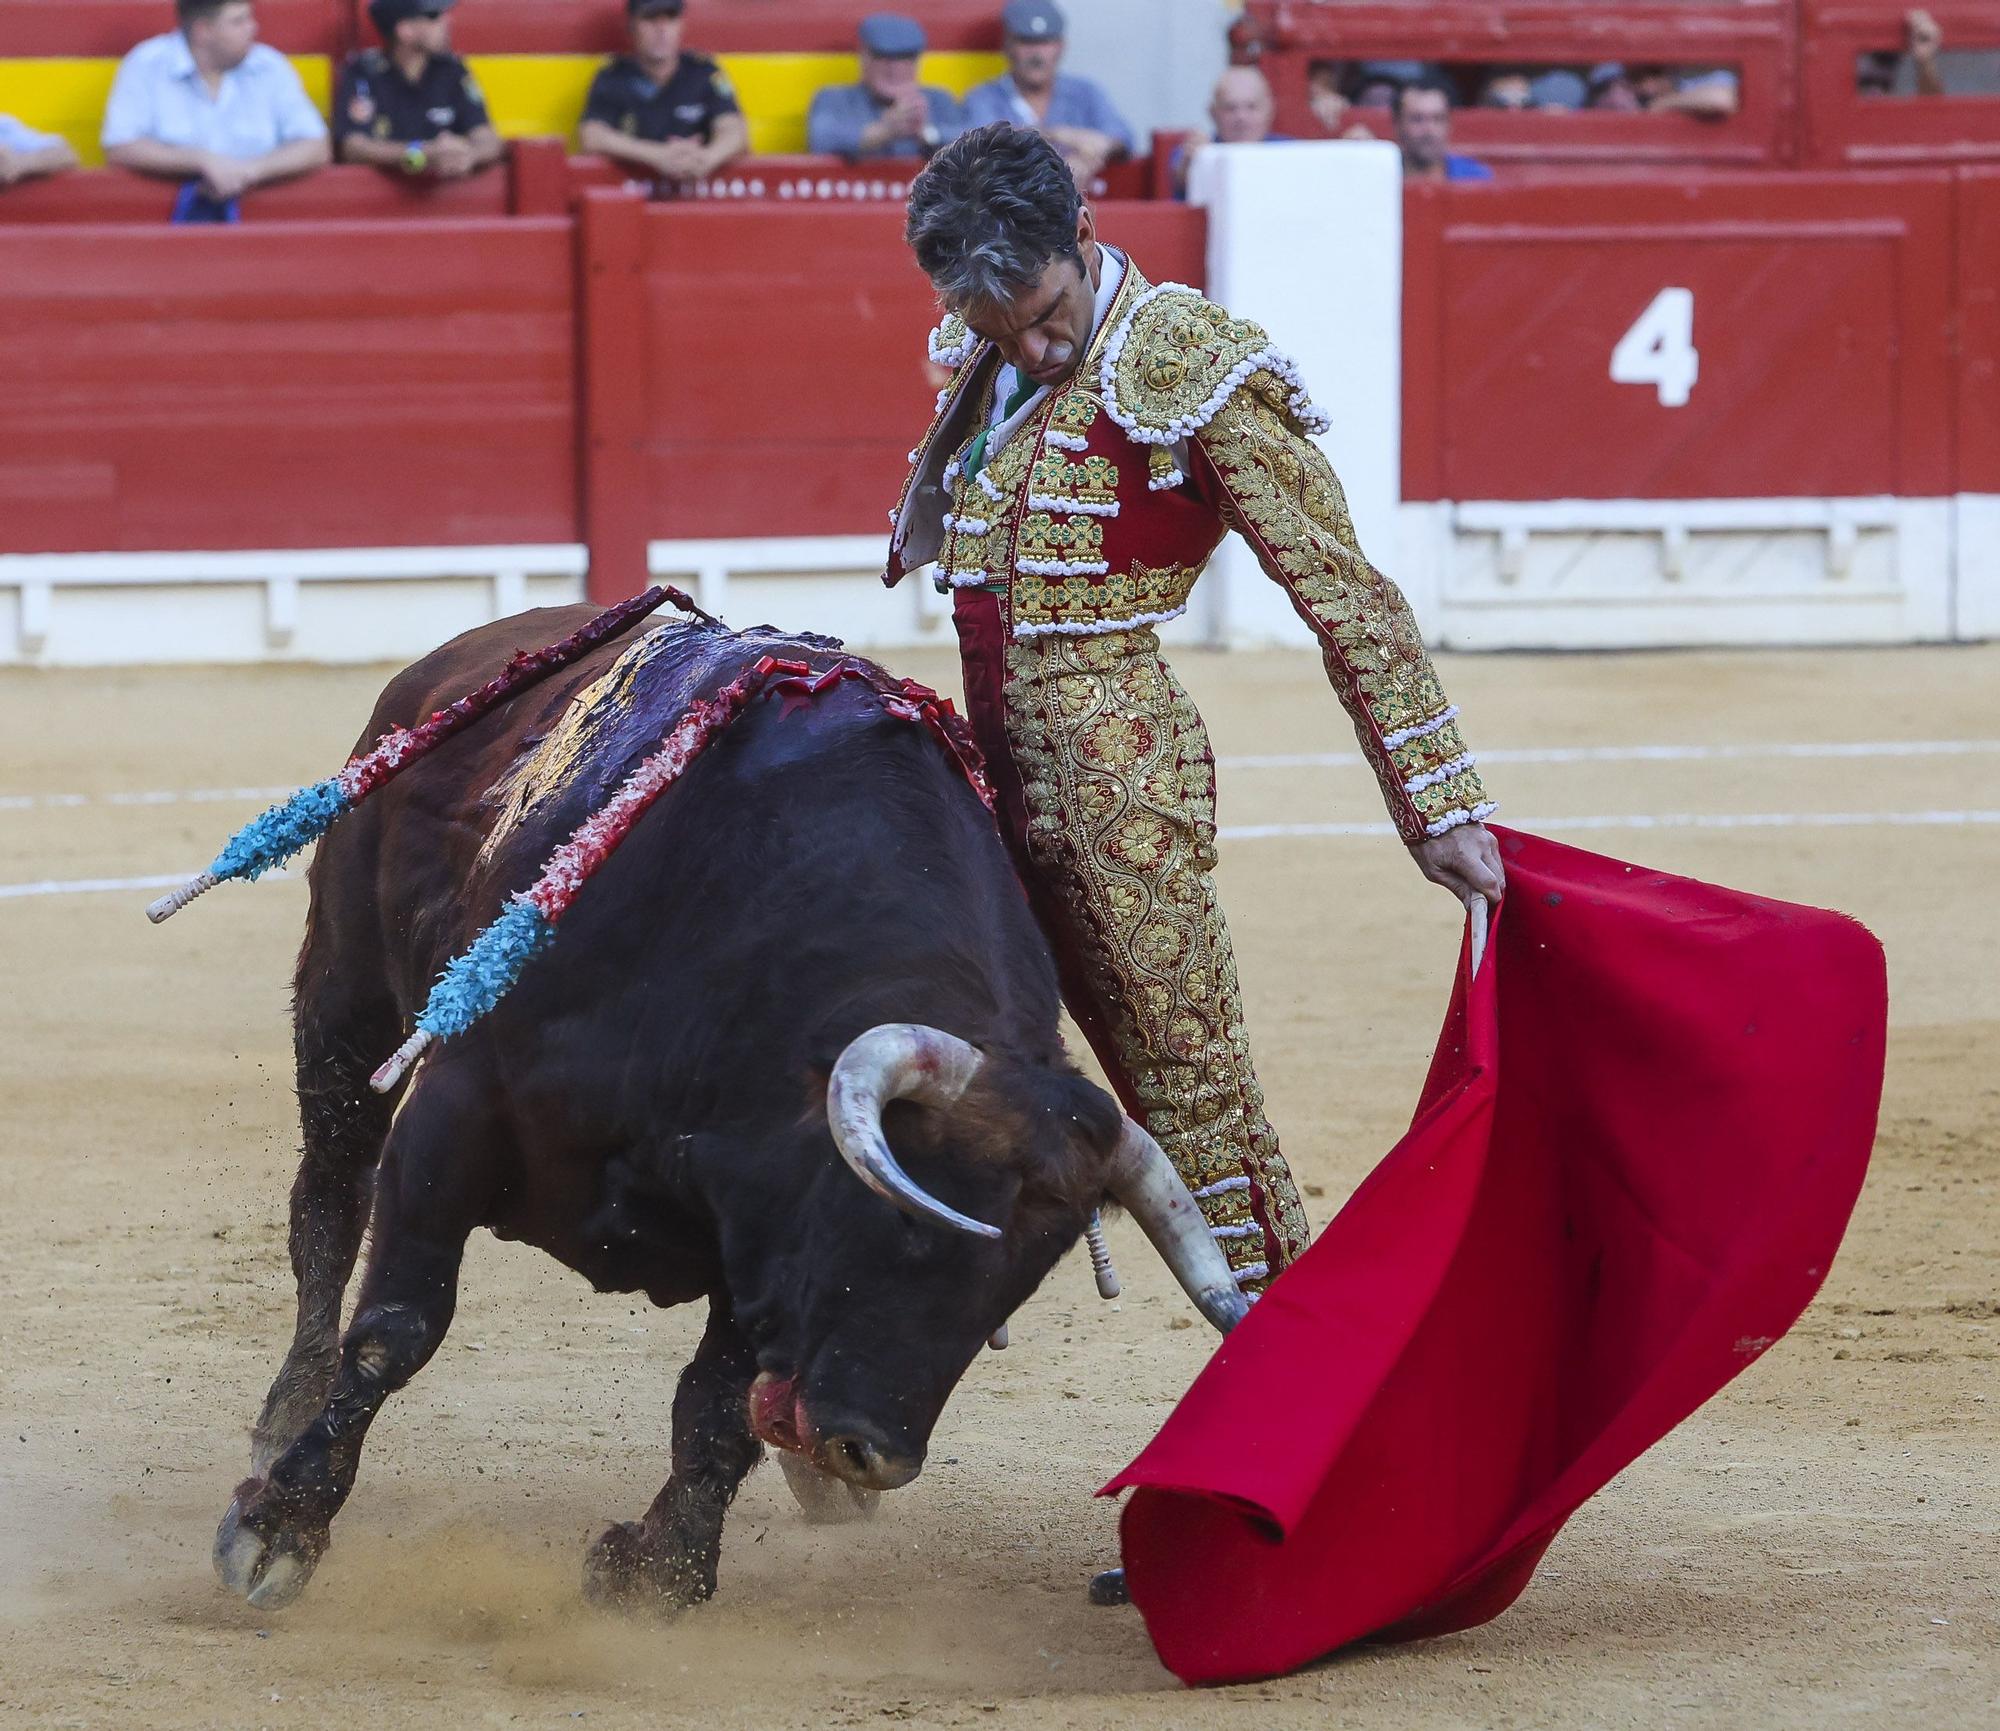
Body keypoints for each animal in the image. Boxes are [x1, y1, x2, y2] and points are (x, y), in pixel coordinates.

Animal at [211, 607, 1240, 1607]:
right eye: (908, 1225)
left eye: (1021, 1282)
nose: (873, 1453)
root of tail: (459, 657)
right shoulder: (457, 1115)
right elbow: (397, 1326)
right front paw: (280, 1529)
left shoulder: (766, 1235)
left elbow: (714, 1405)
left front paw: (659, 1567)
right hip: (345, 1002)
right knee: (328, 1204)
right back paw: (286, 1409)